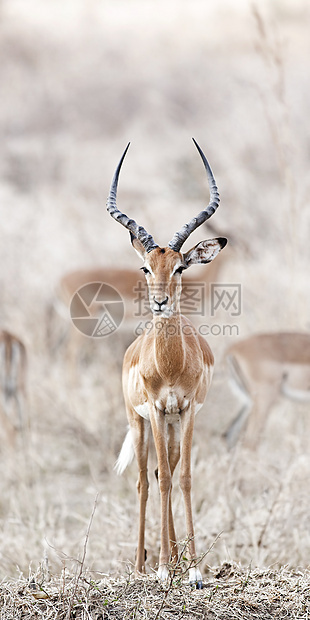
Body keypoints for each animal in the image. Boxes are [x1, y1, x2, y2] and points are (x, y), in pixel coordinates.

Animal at [109, 140, 228, 588]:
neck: (171, 366)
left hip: (174, 424)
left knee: (168, 473)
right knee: (146, 480)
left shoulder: (187, 410)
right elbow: (157, 483)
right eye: (146, 266)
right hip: (138, 422)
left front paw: (193, 570)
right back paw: (144, 566)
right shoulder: (158, 411)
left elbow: (187, 478)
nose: (160, 302)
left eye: (179, 266)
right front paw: (162, 568)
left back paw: (176, 559)